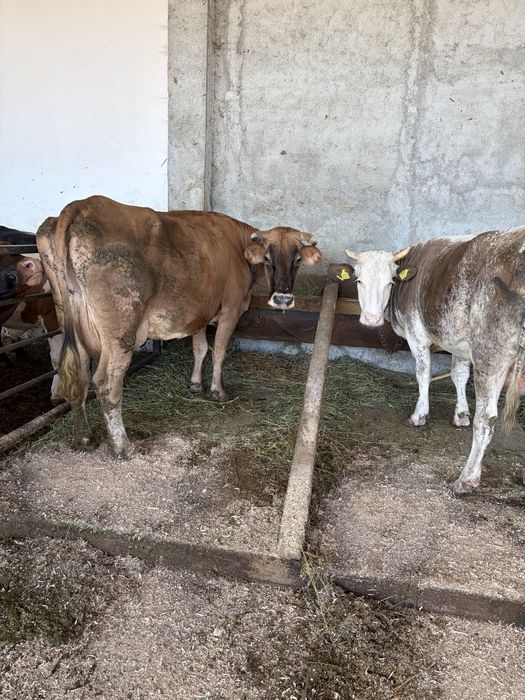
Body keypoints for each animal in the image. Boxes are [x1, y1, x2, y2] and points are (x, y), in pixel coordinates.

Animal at [37, 195, 323, 458]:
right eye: (268, 258)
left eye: (297, 260)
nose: (283, 298)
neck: (237, 246)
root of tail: (81, 205)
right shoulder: (230, 309)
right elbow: (218, 351)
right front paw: (218, 391)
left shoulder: (199, 312)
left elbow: (200, 348)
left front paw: (195, 385)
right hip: (121, 330)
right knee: (106, 383)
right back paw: (123, 446)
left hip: (67, 315)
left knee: (77, 374)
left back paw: (83, 437)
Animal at [344, 226, 525, 495]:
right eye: (359, 281)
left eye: (390, 282)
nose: (371, 319)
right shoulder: (459, 343)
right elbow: (459, 375)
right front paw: (461, 414)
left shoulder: (417, 335)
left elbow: (423, 373)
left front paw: (419, 414)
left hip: (491, 355)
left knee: (486, 420)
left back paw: (466, 479)